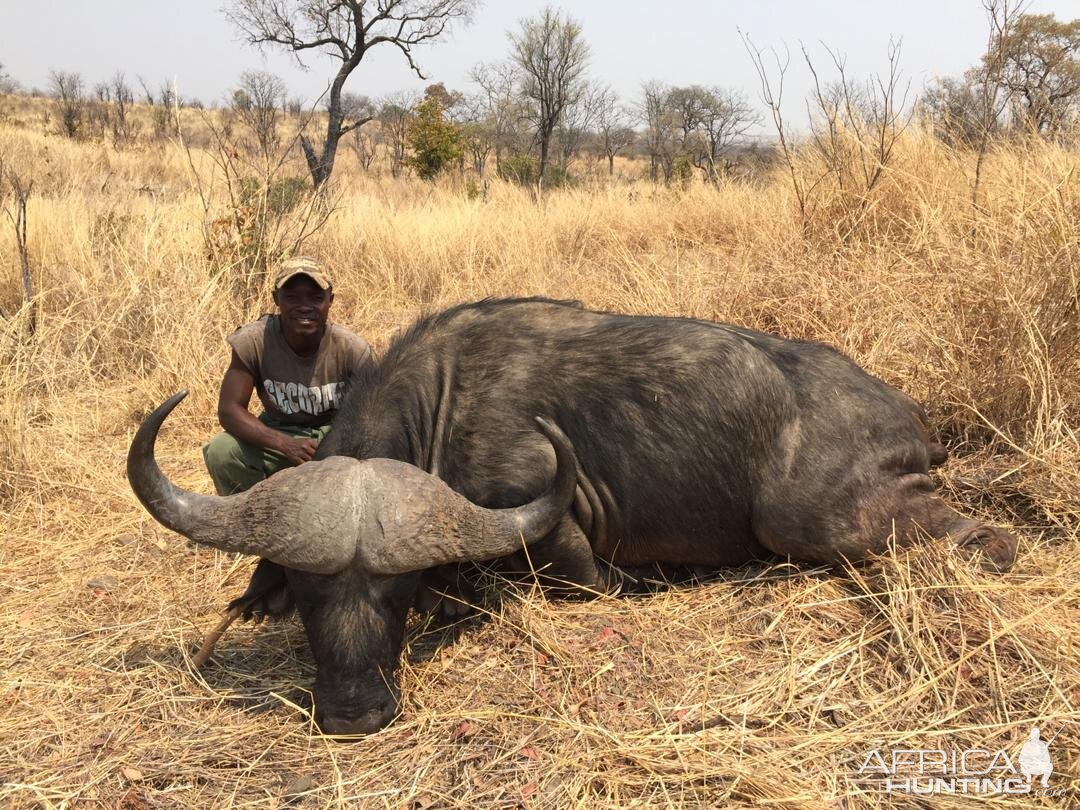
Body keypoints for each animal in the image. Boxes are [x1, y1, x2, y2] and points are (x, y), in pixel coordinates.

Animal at [128, 298, 1019, 734]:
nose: (354, 714)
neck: (444, 401)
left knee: (987, 540)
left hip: (817, 520)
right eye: (310, 596)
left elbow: (577, 583)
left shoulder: (550, 523)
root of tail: (909, 416)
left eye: (396, 595)